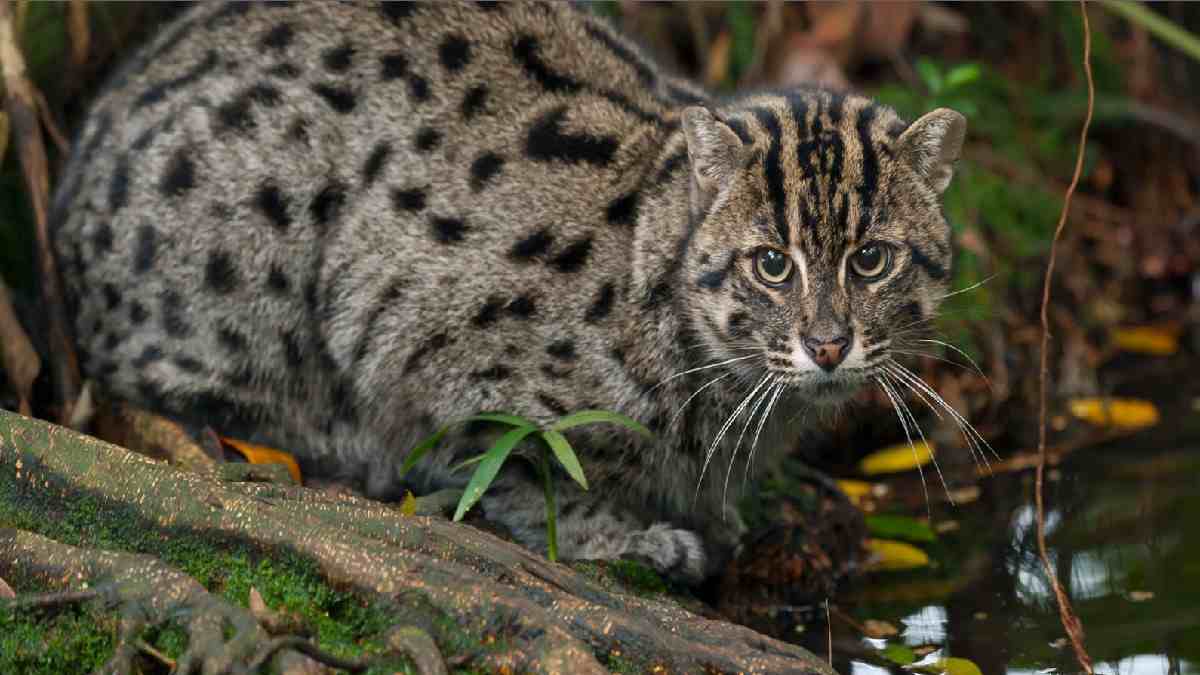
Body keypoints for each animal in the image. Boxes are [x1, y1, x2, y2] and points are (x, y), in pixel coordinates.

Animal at [51, 1, 964, 578]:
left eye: (872, 259)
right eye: (772, 263)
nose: (829, 344)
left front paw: (715, 512)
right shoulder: (421, 347)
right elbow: (525, 471)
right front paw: (624, 537)